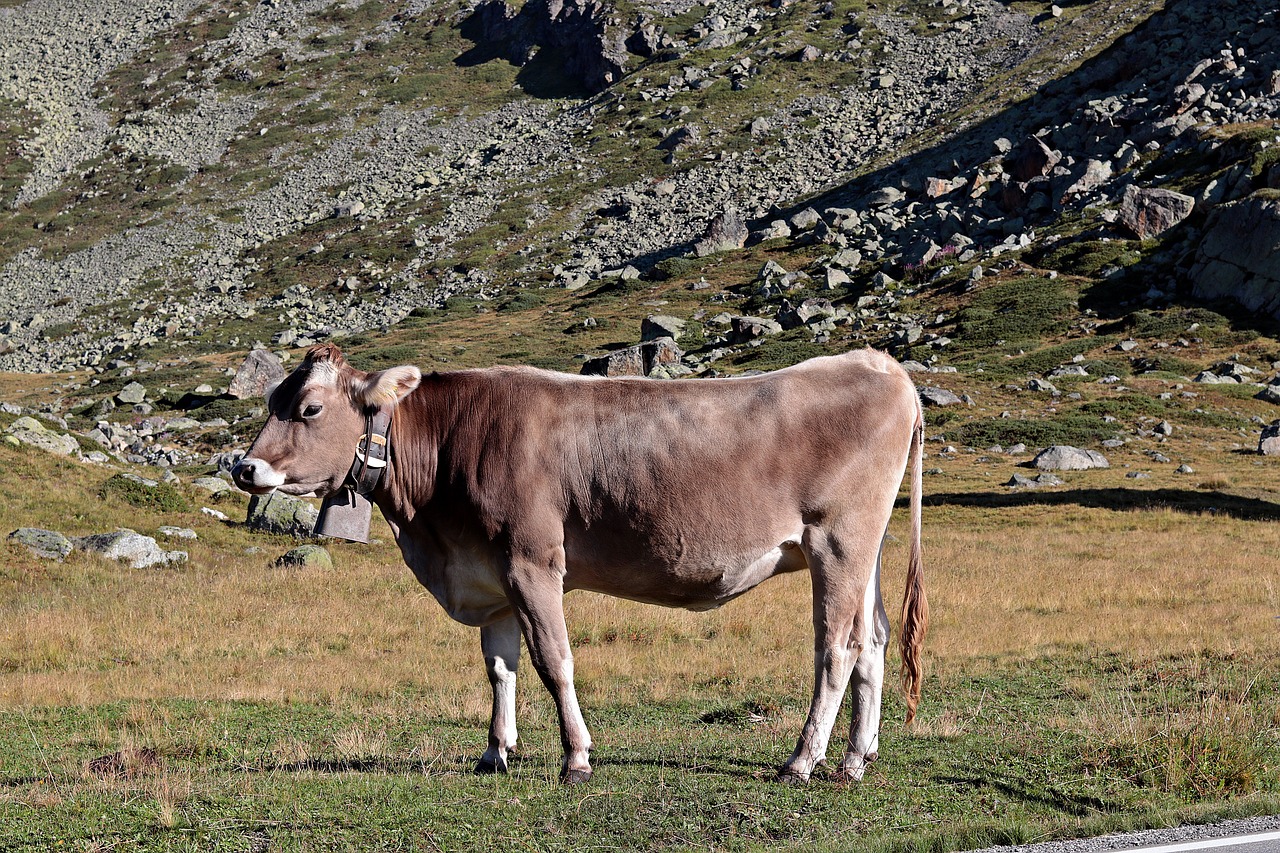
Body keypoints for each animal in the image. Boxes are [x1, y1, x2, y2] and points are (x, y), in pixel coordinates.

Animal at [232, 343, 931, 778]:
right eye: (270, 401)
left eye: (309, 408)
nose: (244, 468)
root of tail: (880, 365)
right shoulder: (488, 574)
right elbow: (501, 667)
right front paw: (495, 754)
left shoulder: (532, 561)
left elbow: (553, 662)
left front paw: (576, 757)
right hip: (864, 549)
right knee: (873, 639)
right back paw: (856, 758)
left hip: (837, 541)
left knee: (837, 645)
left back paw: (803, 760)